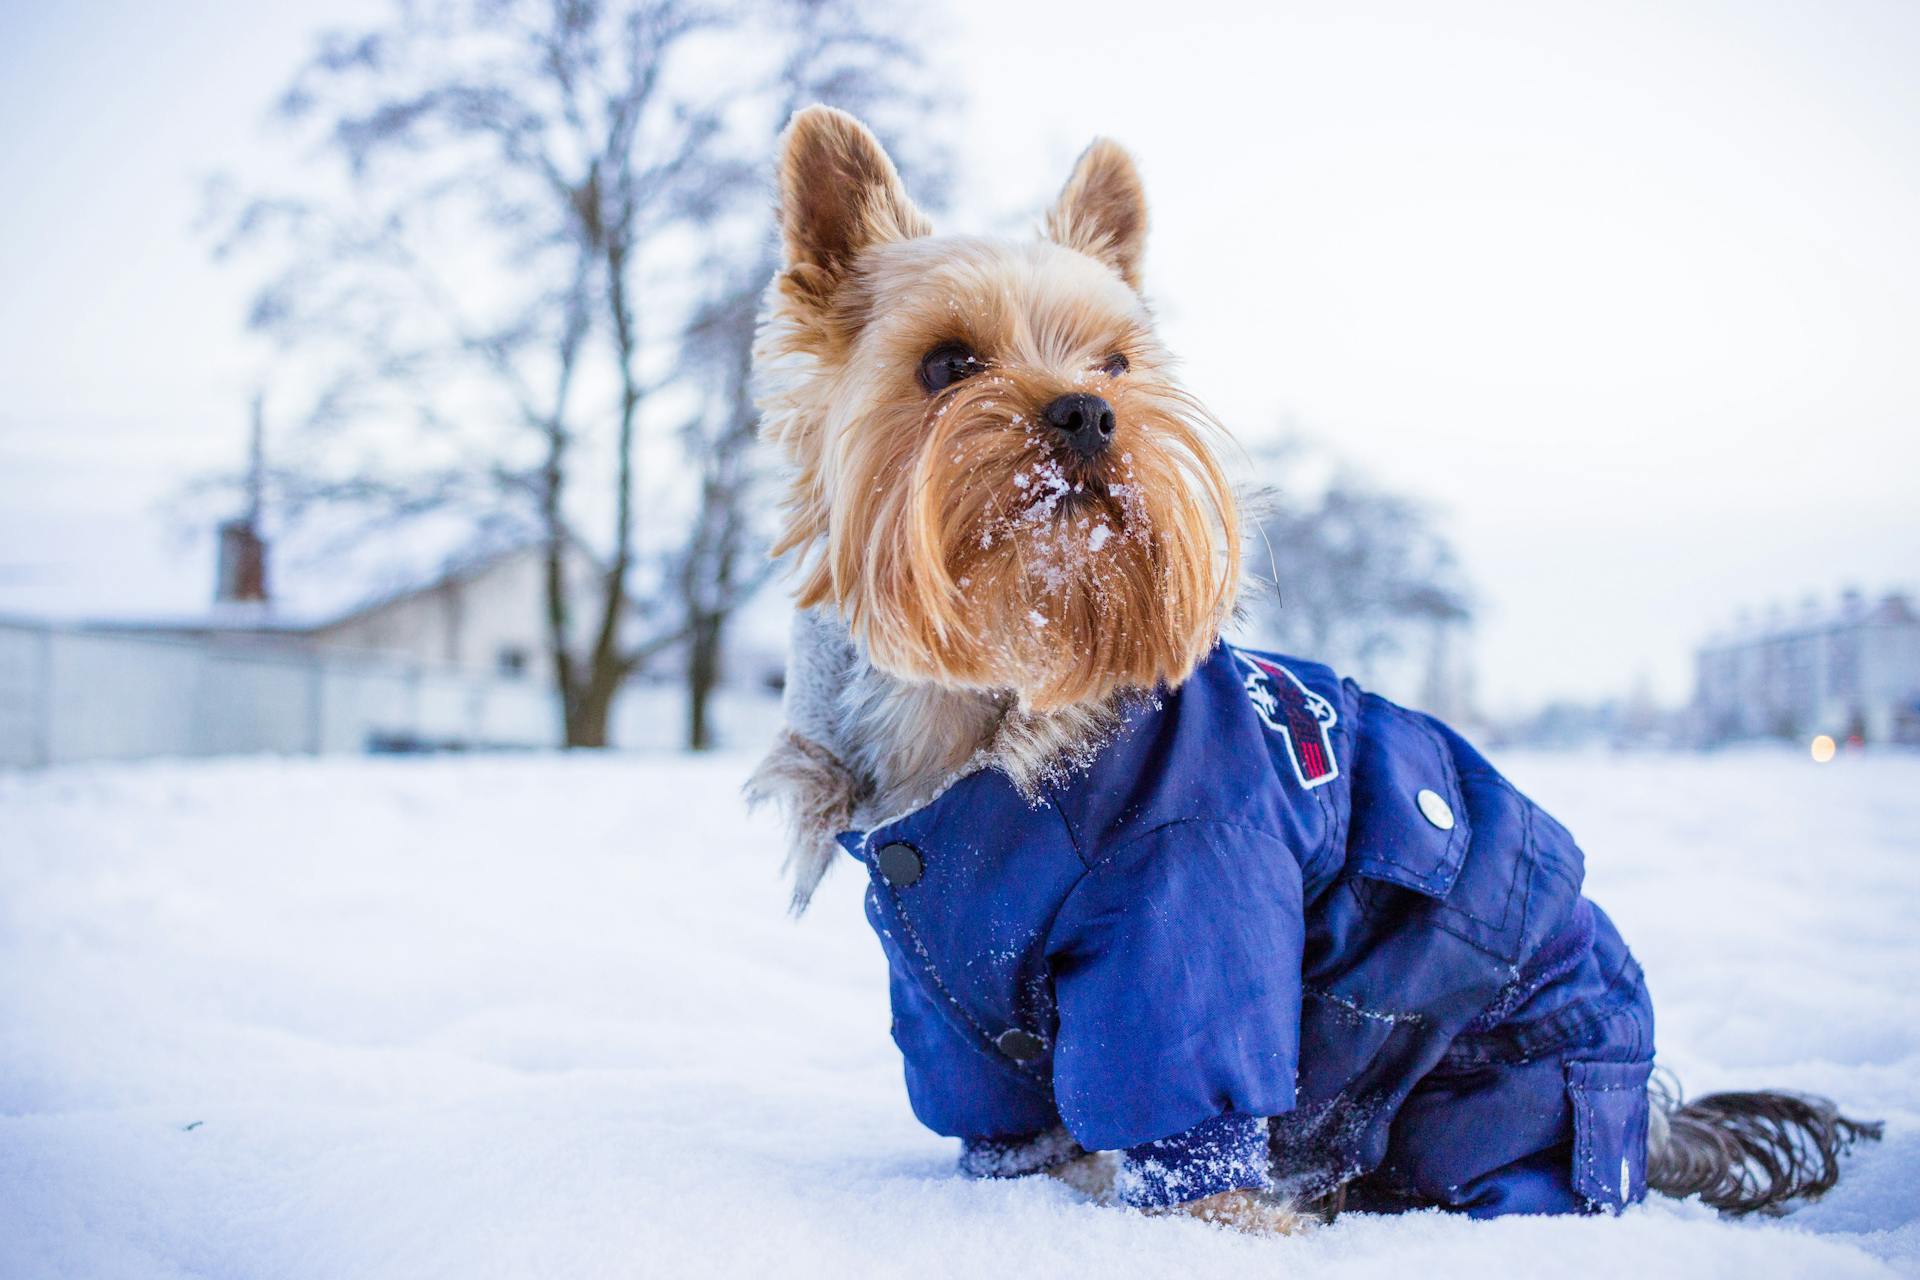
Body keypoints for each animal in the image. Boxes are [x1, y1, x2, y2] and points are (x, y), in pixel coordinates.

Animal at [744, 107, 1873, 1228]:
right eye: (946, 363)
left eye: (1115, 364)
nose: (1087, 412)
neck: (1002, 700)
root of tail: (1650, 1117)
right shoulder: (944, 993)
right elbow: (1006, 1125)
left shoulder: (1188, 901)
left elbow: (1194, 1114)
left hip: (1506, 1083)